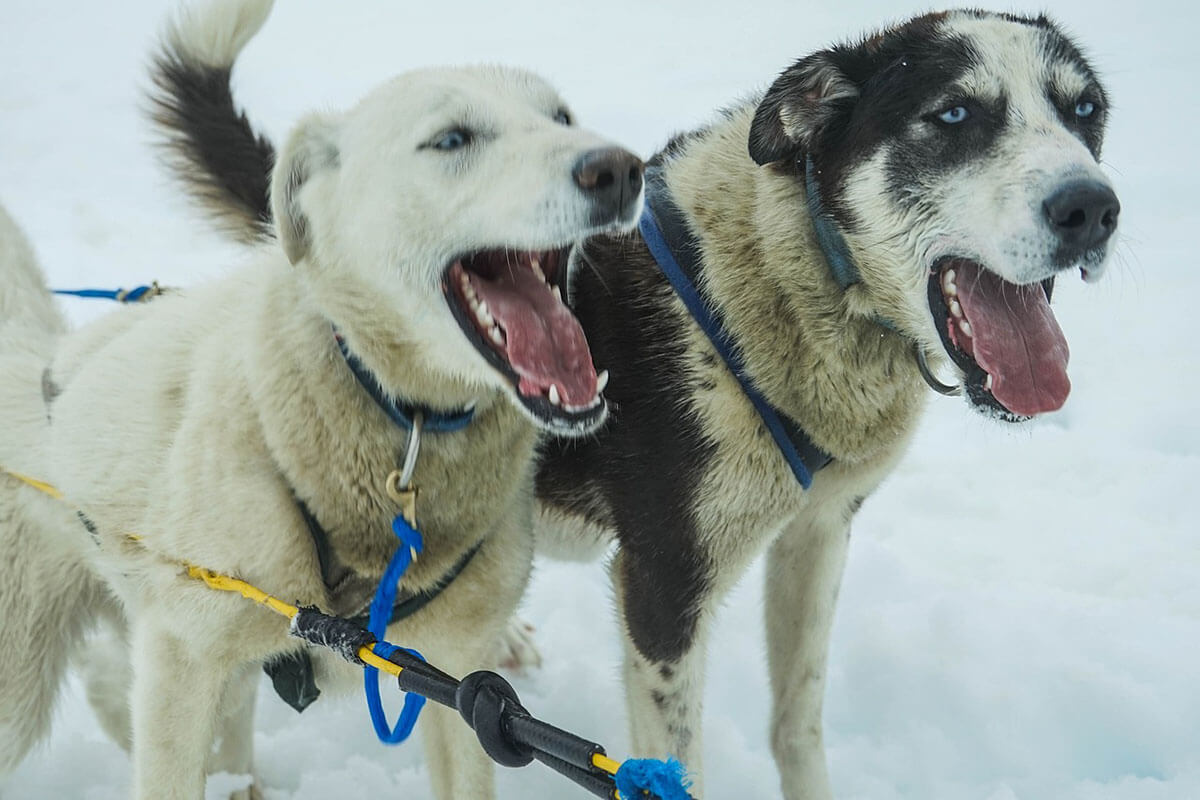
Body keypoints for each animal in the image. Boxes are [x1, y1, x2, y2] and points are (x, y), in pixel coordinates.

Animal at [0, 0, 648, 796]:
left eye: (562, 116)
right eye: (452, 138)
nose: (619, 168)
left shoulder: (462, 683)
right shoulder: (183, 660)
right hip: (27, 685)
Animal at [129, 7, 1113, 800]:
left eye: (1086, 111)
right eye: (953, 116)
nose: (1092, 208)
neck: (792, 279)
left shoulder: (816, 533)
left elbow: (797, 721)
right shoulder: (665, 588)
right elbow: (674, 765)